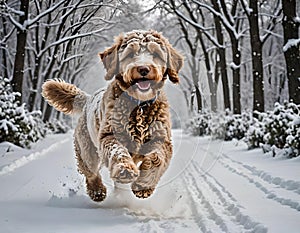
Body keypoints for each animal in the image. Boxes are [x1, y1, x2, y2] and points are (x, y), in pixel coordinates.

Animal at [41, 30, 183, 201]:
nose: (143, 69)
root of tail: (87, 99)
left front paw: (143, 185)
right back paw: (97, 191)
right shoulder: (110, 135)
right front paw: (125, 170)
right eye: (130, 54)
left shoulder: (161, 140)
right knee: (90, 172)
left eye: (156, 54)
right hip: (87, 149)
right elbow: (117, 152)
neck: (139, 106)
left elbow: (157, 160)